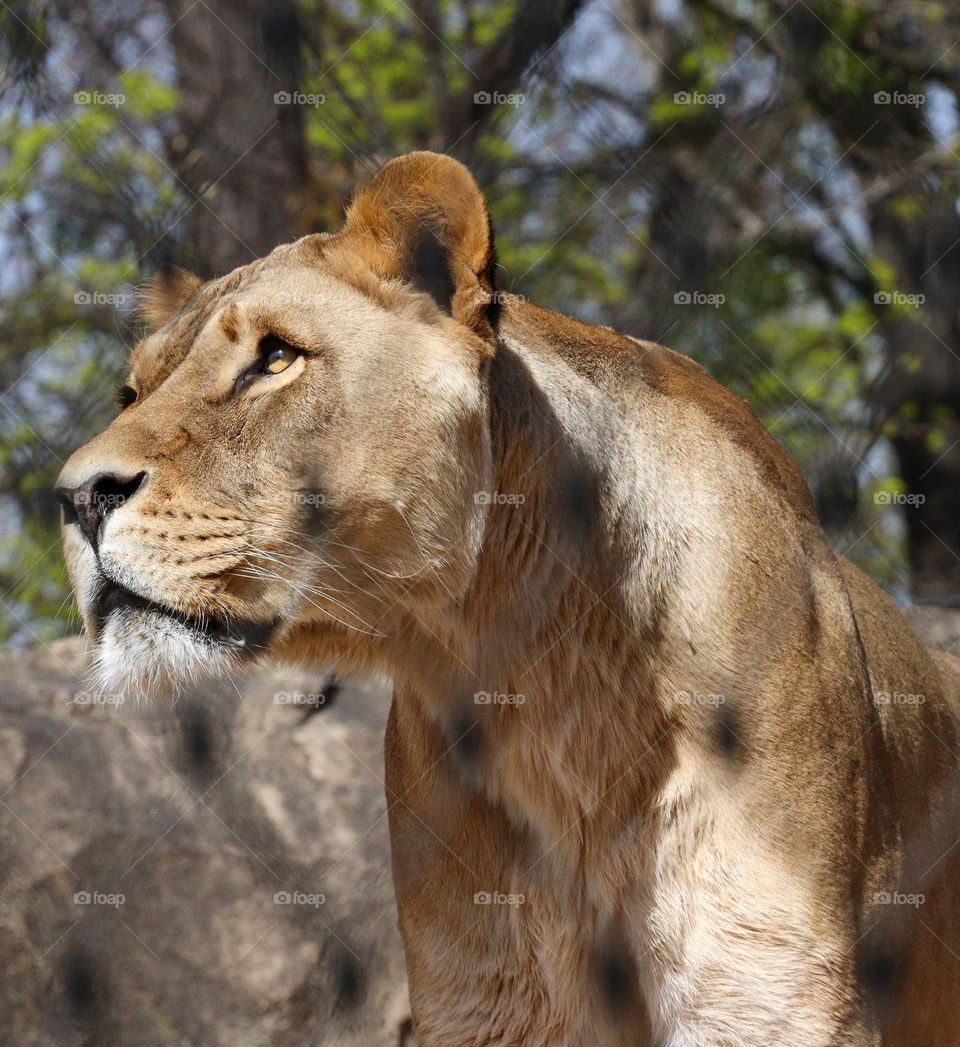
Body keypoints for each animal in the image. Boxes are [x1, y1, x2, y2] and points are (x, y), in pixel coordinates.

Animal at [57, 151, 960, 1045]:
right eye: (131, 394)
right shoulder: (487, 1001)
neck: (536, 672)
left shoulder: (766, 988)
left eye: (275, 358)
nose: (75, 498)